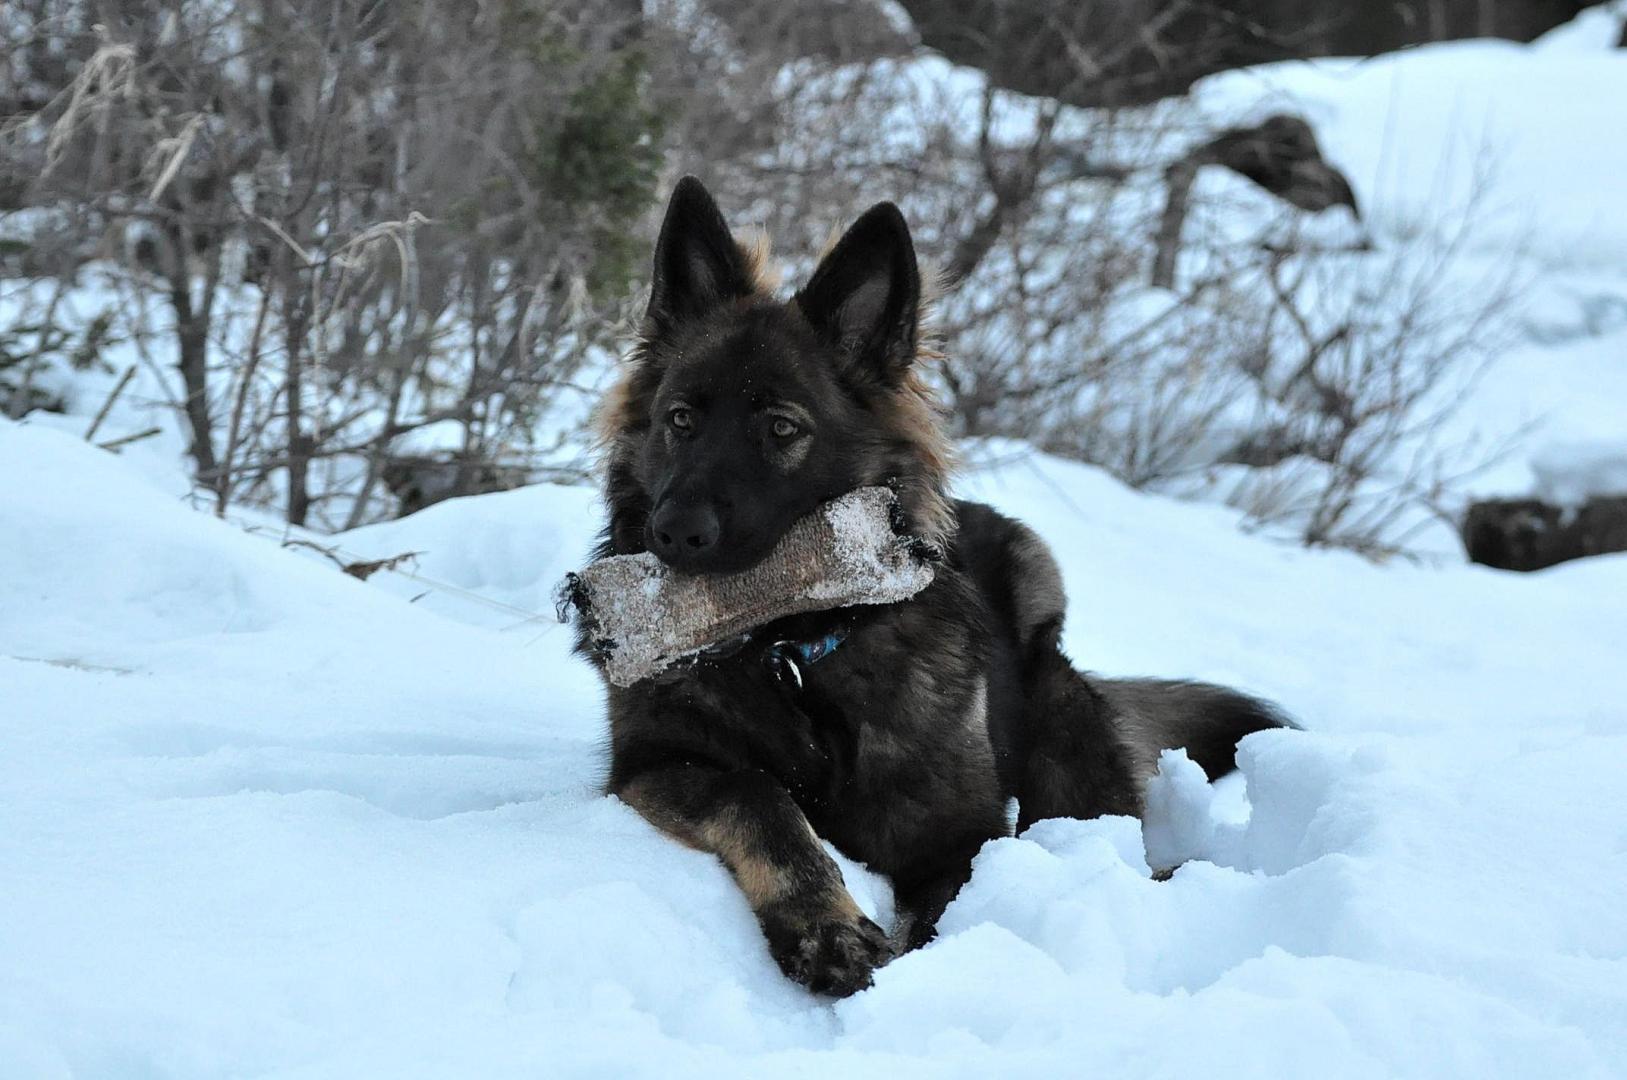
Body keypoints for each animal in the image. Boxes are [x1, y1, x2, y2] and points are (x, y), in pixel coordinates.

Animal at [579, 176, 1292, 997]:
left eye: (782, 430)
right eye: (681, 419)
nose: (672, 532)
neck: (793, 657)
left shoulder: (961, 838)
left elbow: (941, 914)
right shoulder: (652, 767)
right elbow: (755, 795)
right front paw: (826, 929)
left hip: (1054, 691)